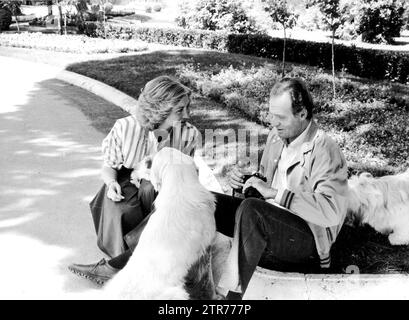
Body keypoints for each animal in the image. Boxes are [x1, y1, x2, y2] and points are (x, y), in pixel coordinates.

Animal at [102, 148, 217, 300]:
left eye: (149, 162)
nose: (133, 170)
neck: (180, 186)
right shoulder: (206, 248)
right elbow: (208, 278)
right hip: (177, 294)